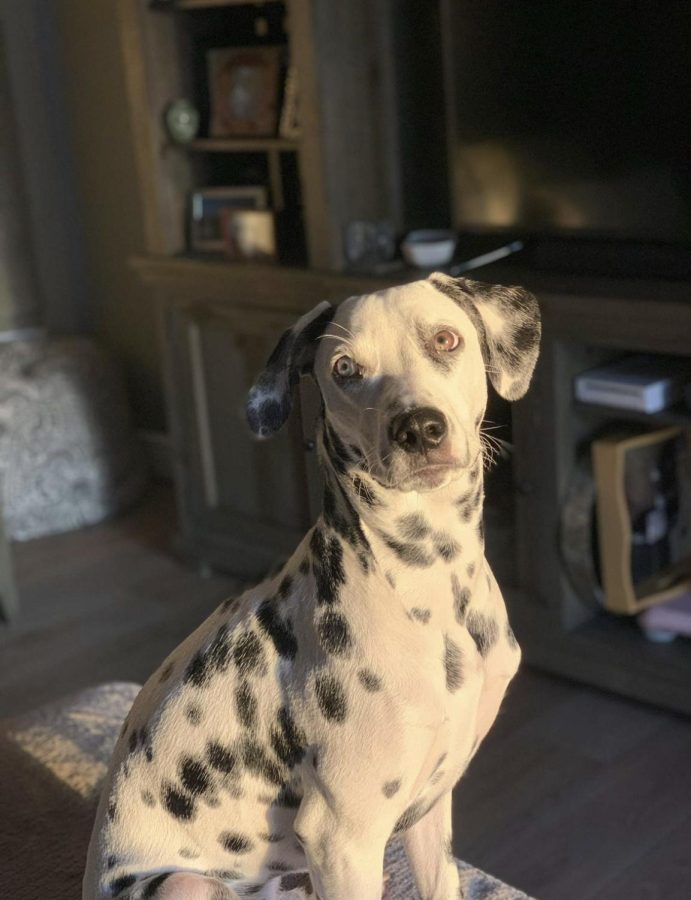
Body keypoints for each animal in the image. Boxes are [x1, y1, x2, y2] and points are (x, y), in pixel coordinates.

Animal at [84, 272, 540, 900]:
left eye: (445, 339)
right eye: (345, 369)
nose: (418, 428)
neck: (432, 583)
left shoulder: (430, 809)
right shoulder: (343, 838)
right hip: (189, 883)